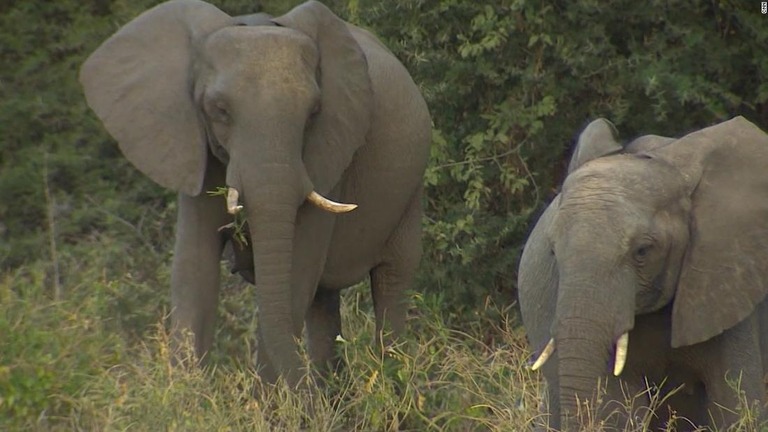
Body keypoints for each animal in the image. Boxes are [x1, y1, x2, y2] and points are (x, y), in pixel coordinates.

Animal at [84, 0, 436, 384]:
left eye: (314, 112)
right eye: (219, 110)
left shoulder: (329, 154)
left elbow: (296, 272)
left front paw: (273, 398)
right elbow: (194, 270)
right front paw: (185, 395)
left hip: (411, 190)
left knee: (391, 280)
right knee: (324, 300)